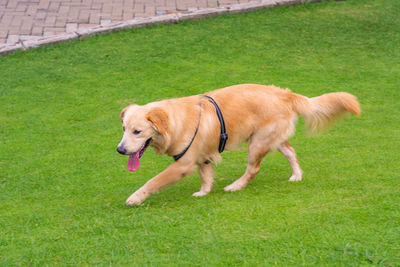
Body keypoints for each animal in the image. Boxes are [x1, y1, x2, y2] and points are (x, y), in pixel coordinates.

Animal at [117, 85, 360, 206]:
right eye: (123, 128)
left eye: (137, 131)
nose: (120, 150)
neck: (175, 122)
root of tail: (285, 94)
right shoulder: (204, 156)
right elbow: (206, 176)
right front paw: (204, 192)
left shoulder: (182, 164)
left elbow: (153, 180)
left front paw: (135, 197)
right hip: (273, 138)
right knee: (291, 152)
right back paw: (296, 175)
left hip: (257, 142)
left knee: (253, 169)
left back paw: (236, 186)